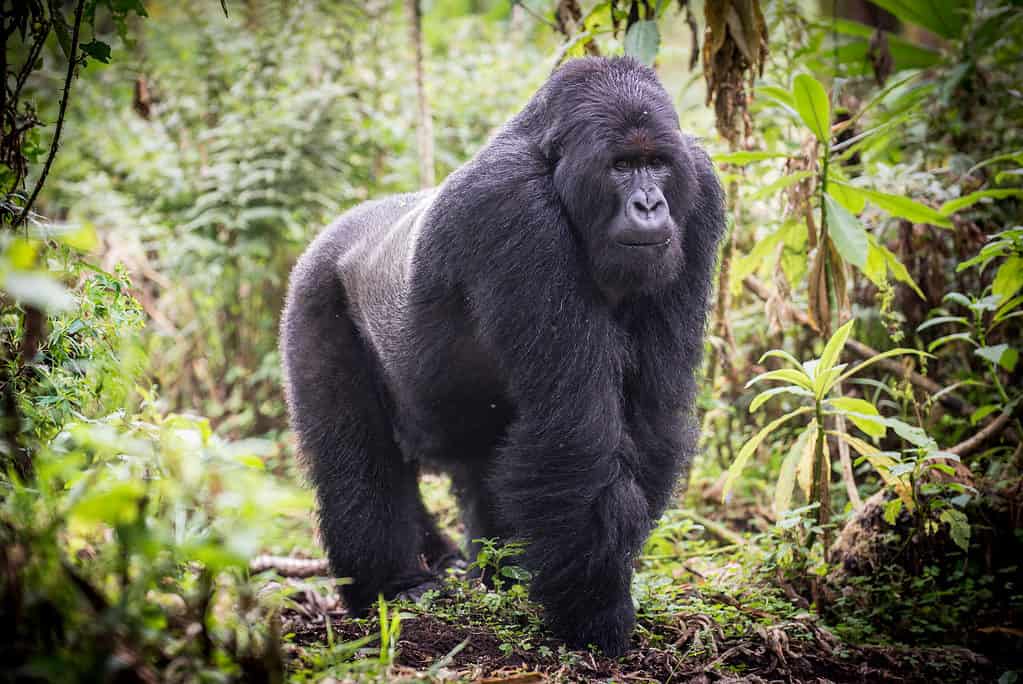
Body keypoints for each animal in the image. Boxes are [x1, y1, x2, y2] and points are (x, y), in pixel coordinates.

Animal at [280, 55, 728, 654]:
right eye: (621, 166)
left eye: (655, 164)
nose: (650, 204)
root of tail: (334, 230)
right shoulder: (515, 211)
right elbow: (576, 430)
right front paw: (596, 612)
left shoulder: (698, 197)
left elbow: (651, 414)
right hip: (313, 293)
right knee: (357, 459)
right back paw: (394, 585)